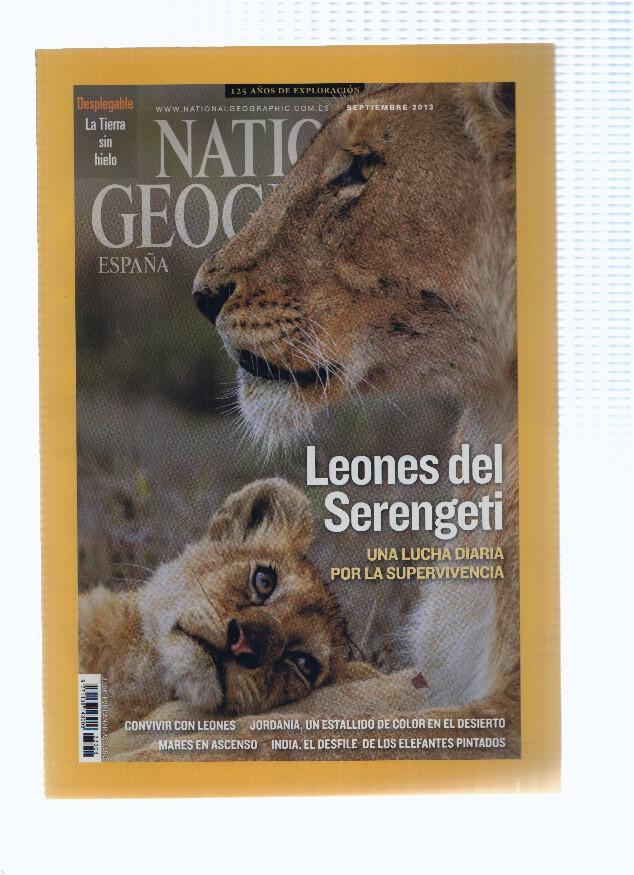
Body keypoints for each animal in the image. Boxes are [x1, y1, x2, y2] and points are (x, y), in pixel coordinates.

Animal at [187, 83, 520, 757]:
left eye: (359, 167)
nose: (202, 296)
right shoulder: (432, 677)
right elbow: (311, 711)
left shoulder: (513, 709)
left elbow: (269, 737)